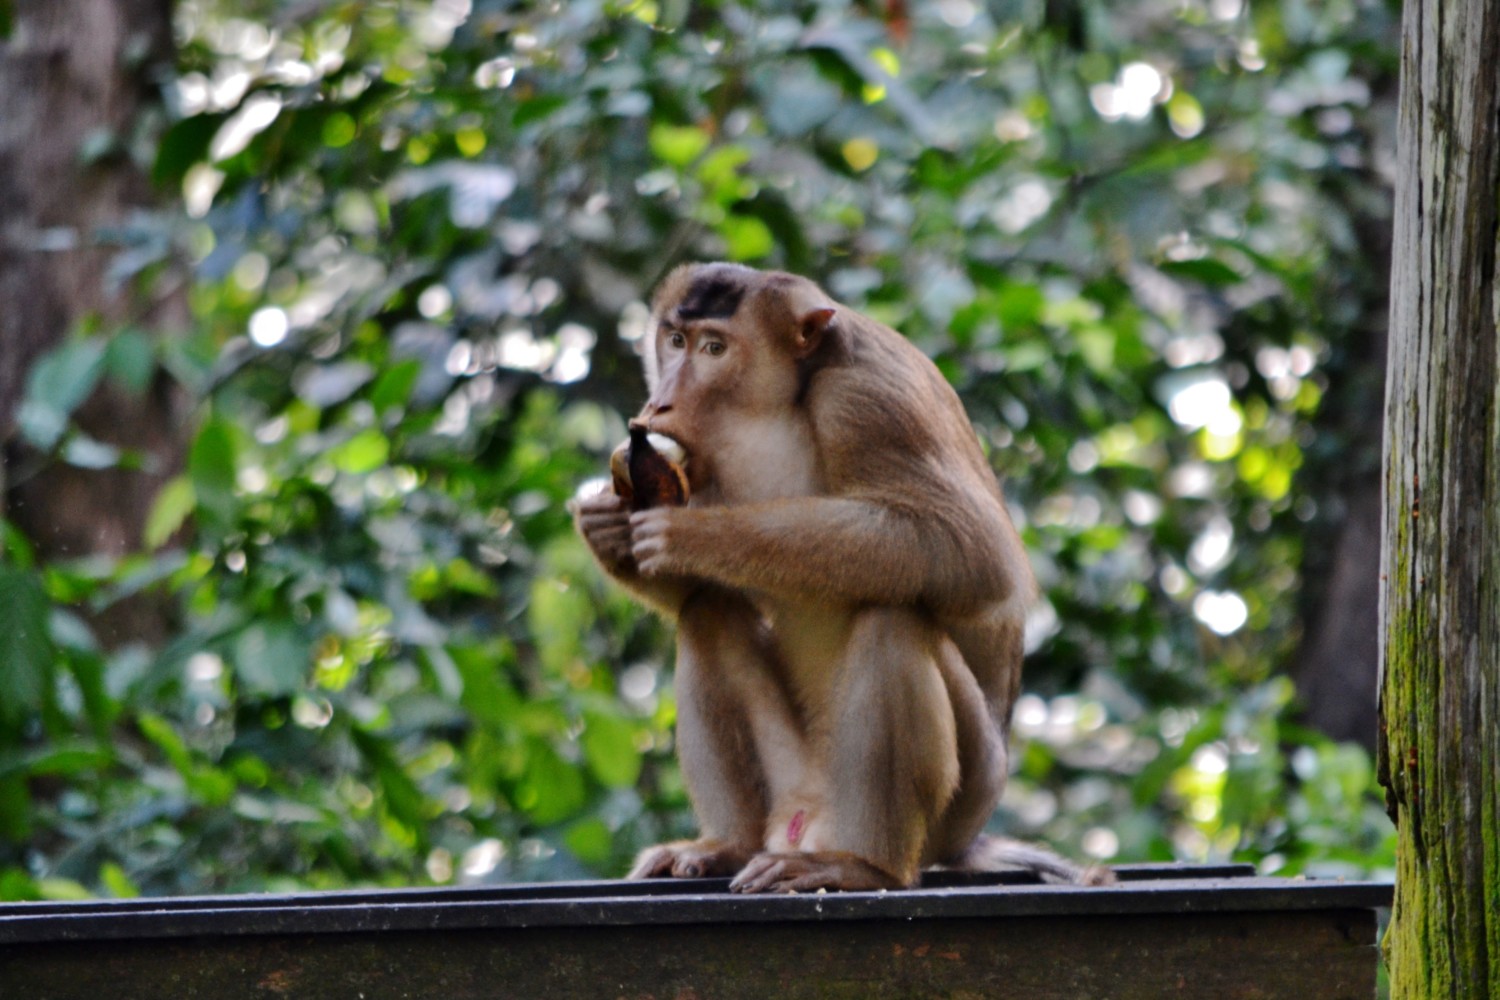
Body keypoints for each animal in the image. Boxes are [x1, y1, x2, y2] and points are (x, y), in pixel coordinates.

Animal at [567, 263, 1110, 893]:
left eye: (714, 348)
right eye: (674, 340)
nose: (659, 405)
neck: (773, 407)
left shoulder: (867, 397)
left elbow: (973, 550)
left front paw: (693, 536)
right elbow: (698, 589)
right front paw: (605, 525)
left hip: (963, 797)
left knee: (892, 619)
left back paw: (861, 865)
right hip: (791, 777)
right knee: (707, 613)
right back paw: (730, 844)